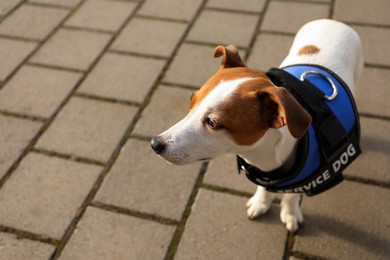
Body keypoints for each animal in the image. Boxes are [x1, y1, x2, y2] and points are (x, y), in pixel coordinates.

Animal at [152, 19, 362, 232]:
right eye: (192, 101)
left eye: (213, 122)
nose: (155, 144)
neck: (263, 158)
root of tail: (333, 22)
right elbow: (263, 188)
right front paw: (261, 202)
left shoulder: (304, 179)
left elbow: (291, 195)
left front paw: (290, 213)